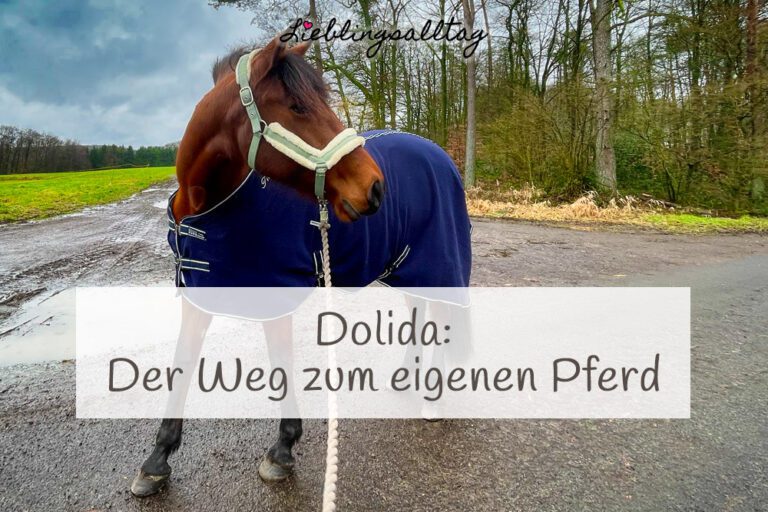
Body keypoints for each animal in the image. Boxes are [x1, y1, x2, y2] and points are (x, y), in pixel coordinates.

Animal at [131, 36, 471, 497]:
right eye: (296, 107)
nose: (375, 187)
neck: (206, 207)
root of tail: (440, 155)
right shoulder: (199, 294)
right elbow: (181, 367)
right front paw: (156, 460)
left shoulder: (274, 295)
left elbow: (281, 368)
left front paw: (282, 451)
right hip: (403, 264)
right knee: (418, 312)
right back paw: (407, 377)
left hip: (436, 262)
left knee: (438, 317)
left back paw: (433, 400)